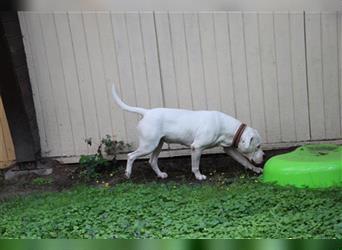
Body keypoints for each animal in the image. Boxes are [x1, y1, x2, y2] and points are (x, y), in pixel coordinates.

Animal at [111, 85, 264, 180]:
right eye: (258, 146)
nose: (264, 155)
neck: (228, 128)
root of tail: (147, 112)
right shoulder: (196, 147)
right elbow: (195, 165)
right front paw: (199, 176)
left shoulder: (230, 149)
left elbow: (244, 160)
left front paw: (255, 169)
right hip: (148, 146)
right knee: (131, 156)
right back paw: (128, 174)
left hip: (157, 144)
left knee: (152, 161)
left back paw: (160, 175)